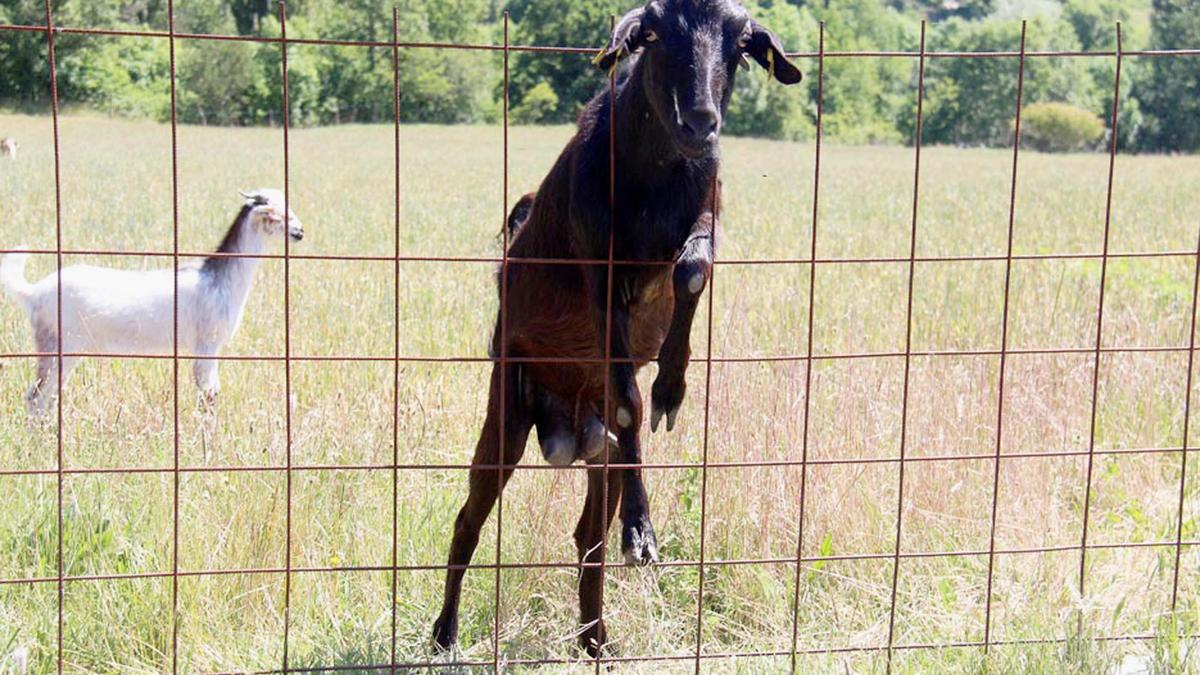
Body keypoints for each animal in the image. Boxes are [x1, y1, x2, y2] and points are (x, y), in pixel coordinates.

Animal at [0, 186, 304, 413]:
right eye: (277, 213)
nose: (300, 231)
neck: (219, 279)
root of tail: (36, 293)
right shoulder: (207, 343)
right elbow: (208, 396)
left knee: (47, 397)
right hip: (57, 346)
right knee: (36, 396)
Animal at [436, 0, 801, 653]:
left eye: (739, 44)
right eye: (654, 35)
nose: (699, 123)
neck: (653, 176)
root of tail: (568, 426)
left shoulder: (705, 213)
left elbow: (692, 271)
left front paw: (673, 384)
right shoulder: (602, 278)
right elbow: (631, 400)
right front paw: (642, 532)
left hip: (597, 451)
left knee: (587, 536)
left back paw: (595, 640)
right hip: (506, 409)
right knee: (469, 518)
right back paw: (445, 634)